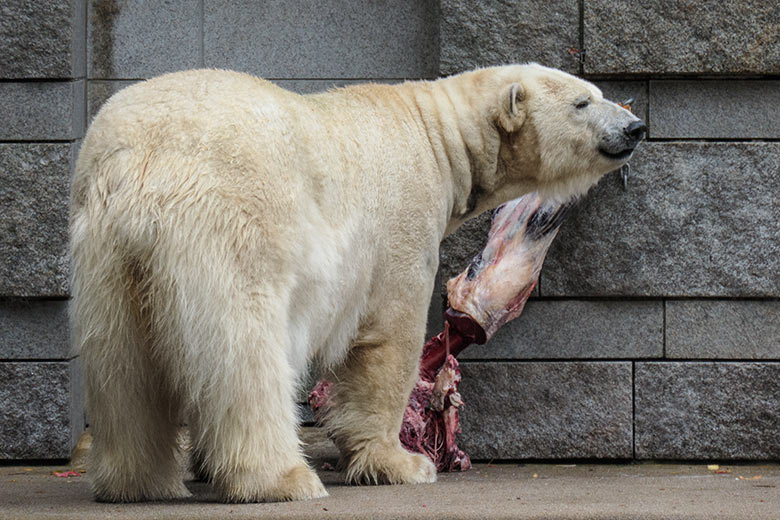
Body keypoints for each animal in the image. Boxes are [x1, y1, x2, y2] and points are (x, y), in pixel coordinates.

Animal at [71, 63, 644, 502]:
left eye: (598, 93)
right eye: (583, 102)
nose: (636, 127)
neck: (437, 136)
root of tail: (144, 165)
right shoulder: (401, 222)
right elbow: (389, 338)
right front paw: (402, 463)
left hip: (107, 249)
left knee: (122, 363)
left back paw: (138, 482)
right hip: (231, 223)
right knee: (245, 352)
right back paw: (282, 478)